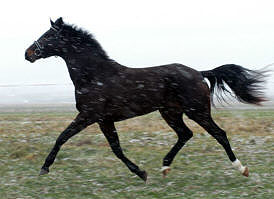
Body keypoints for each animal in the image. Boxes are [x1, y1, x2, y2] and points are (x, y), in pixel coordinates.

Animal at [25, 17, 266, 181]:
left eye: (47, 36)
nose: (28, 53)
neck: (94, 75)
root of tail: (199, 73)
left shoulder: (89, 115)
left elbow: (62, 137)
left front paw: (44, 168)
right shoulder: (104, 120)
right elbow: (116, 148)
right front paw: (142, 172)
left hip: (197, 111)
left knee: (219, 133)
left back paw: (241, 168)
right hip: (170, 113)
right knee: (185, 134)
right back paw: (165, 167)